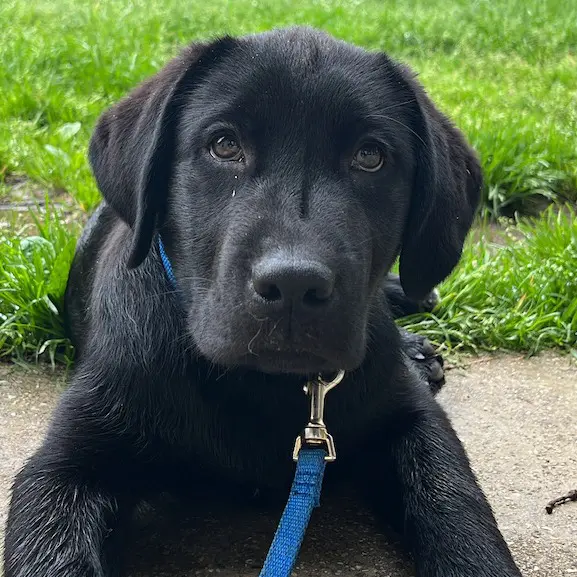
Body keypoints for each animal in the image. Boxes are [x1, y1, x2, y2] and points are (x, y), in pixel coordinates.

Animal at [3, 25, 520, 576]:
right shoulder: (64, 466)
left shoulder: (413, 420)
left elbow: (456, 508)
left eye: (370, 156)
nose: (294, 285)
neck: (261, 383)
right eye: (224, 145)